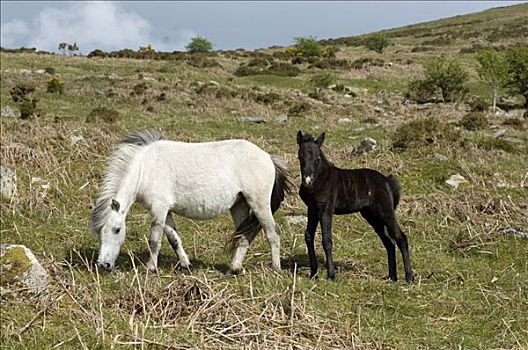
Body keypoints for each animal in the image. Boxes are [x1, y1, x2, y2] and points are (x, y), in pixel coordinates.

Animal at [88, 131, 290, 274]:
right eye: (100, 232)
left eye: (117, 230)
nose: (104, 264)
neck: (145, 168)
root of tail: (268, 157)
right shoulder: (165, 211)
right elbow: (173, 238)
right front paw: (186, 265)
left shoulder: (159, 208)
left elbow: (154, 240)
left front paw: (151, 268)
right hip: (239, 205)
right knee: (244, 236)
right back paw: (234, 268)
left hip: (259, 204)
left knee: (273, 233)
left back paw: (275, 268)